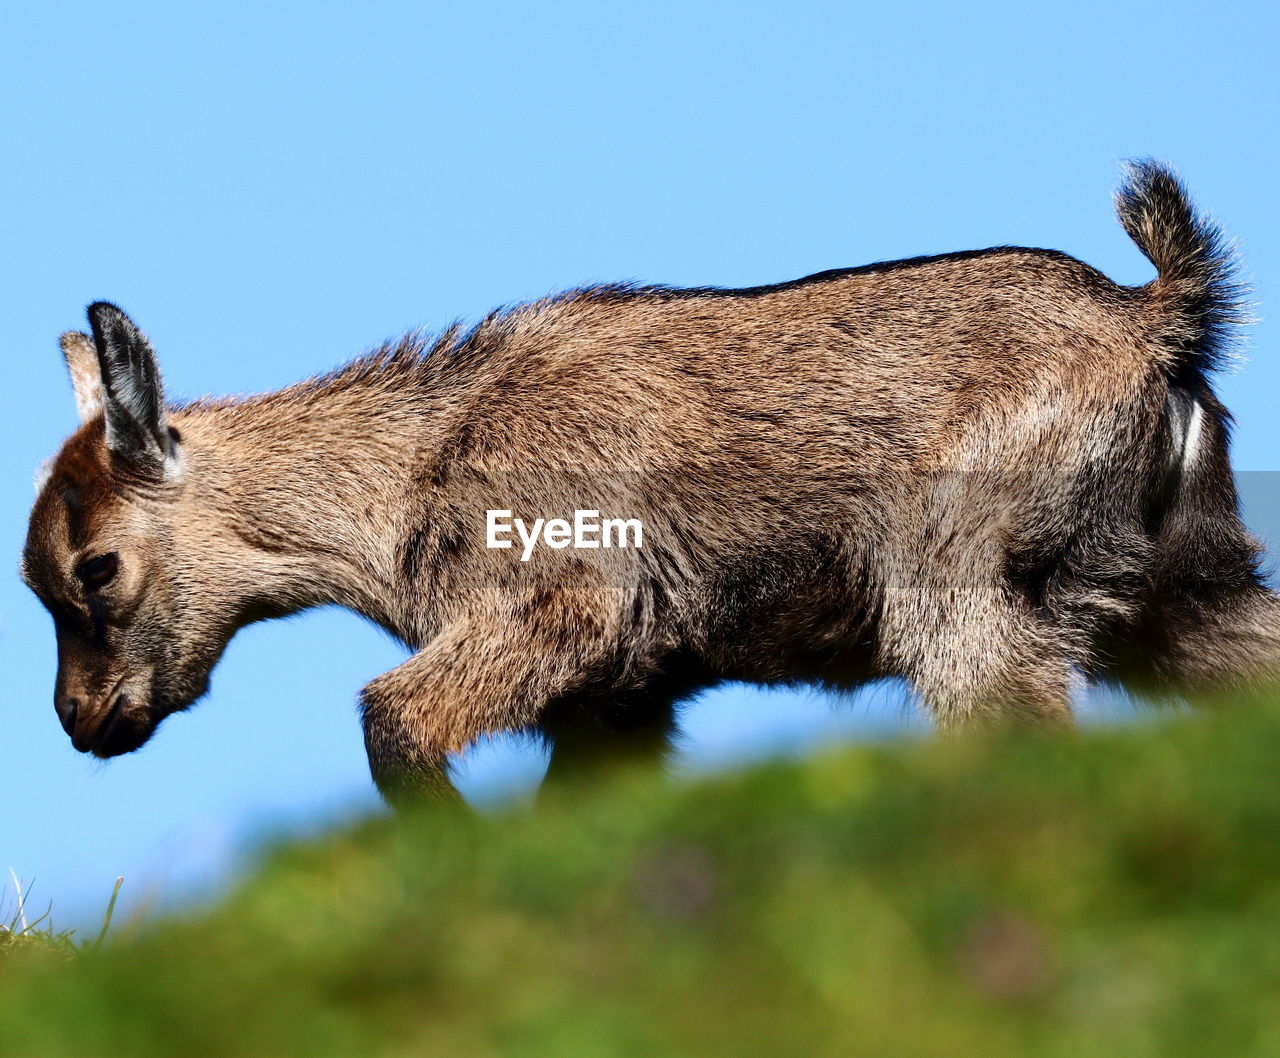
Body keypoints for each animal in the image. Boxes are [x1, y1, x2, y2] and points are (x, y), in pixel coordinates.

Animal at [20, 161, 1280, 798]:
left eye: (96, 566)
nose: (83, 722)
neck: (411, 470)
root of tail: (1157, 317)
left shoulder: (556, 608)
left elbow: (393, 720)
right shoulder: (621, 696)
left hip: (962, 586)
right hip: (1181, 591)